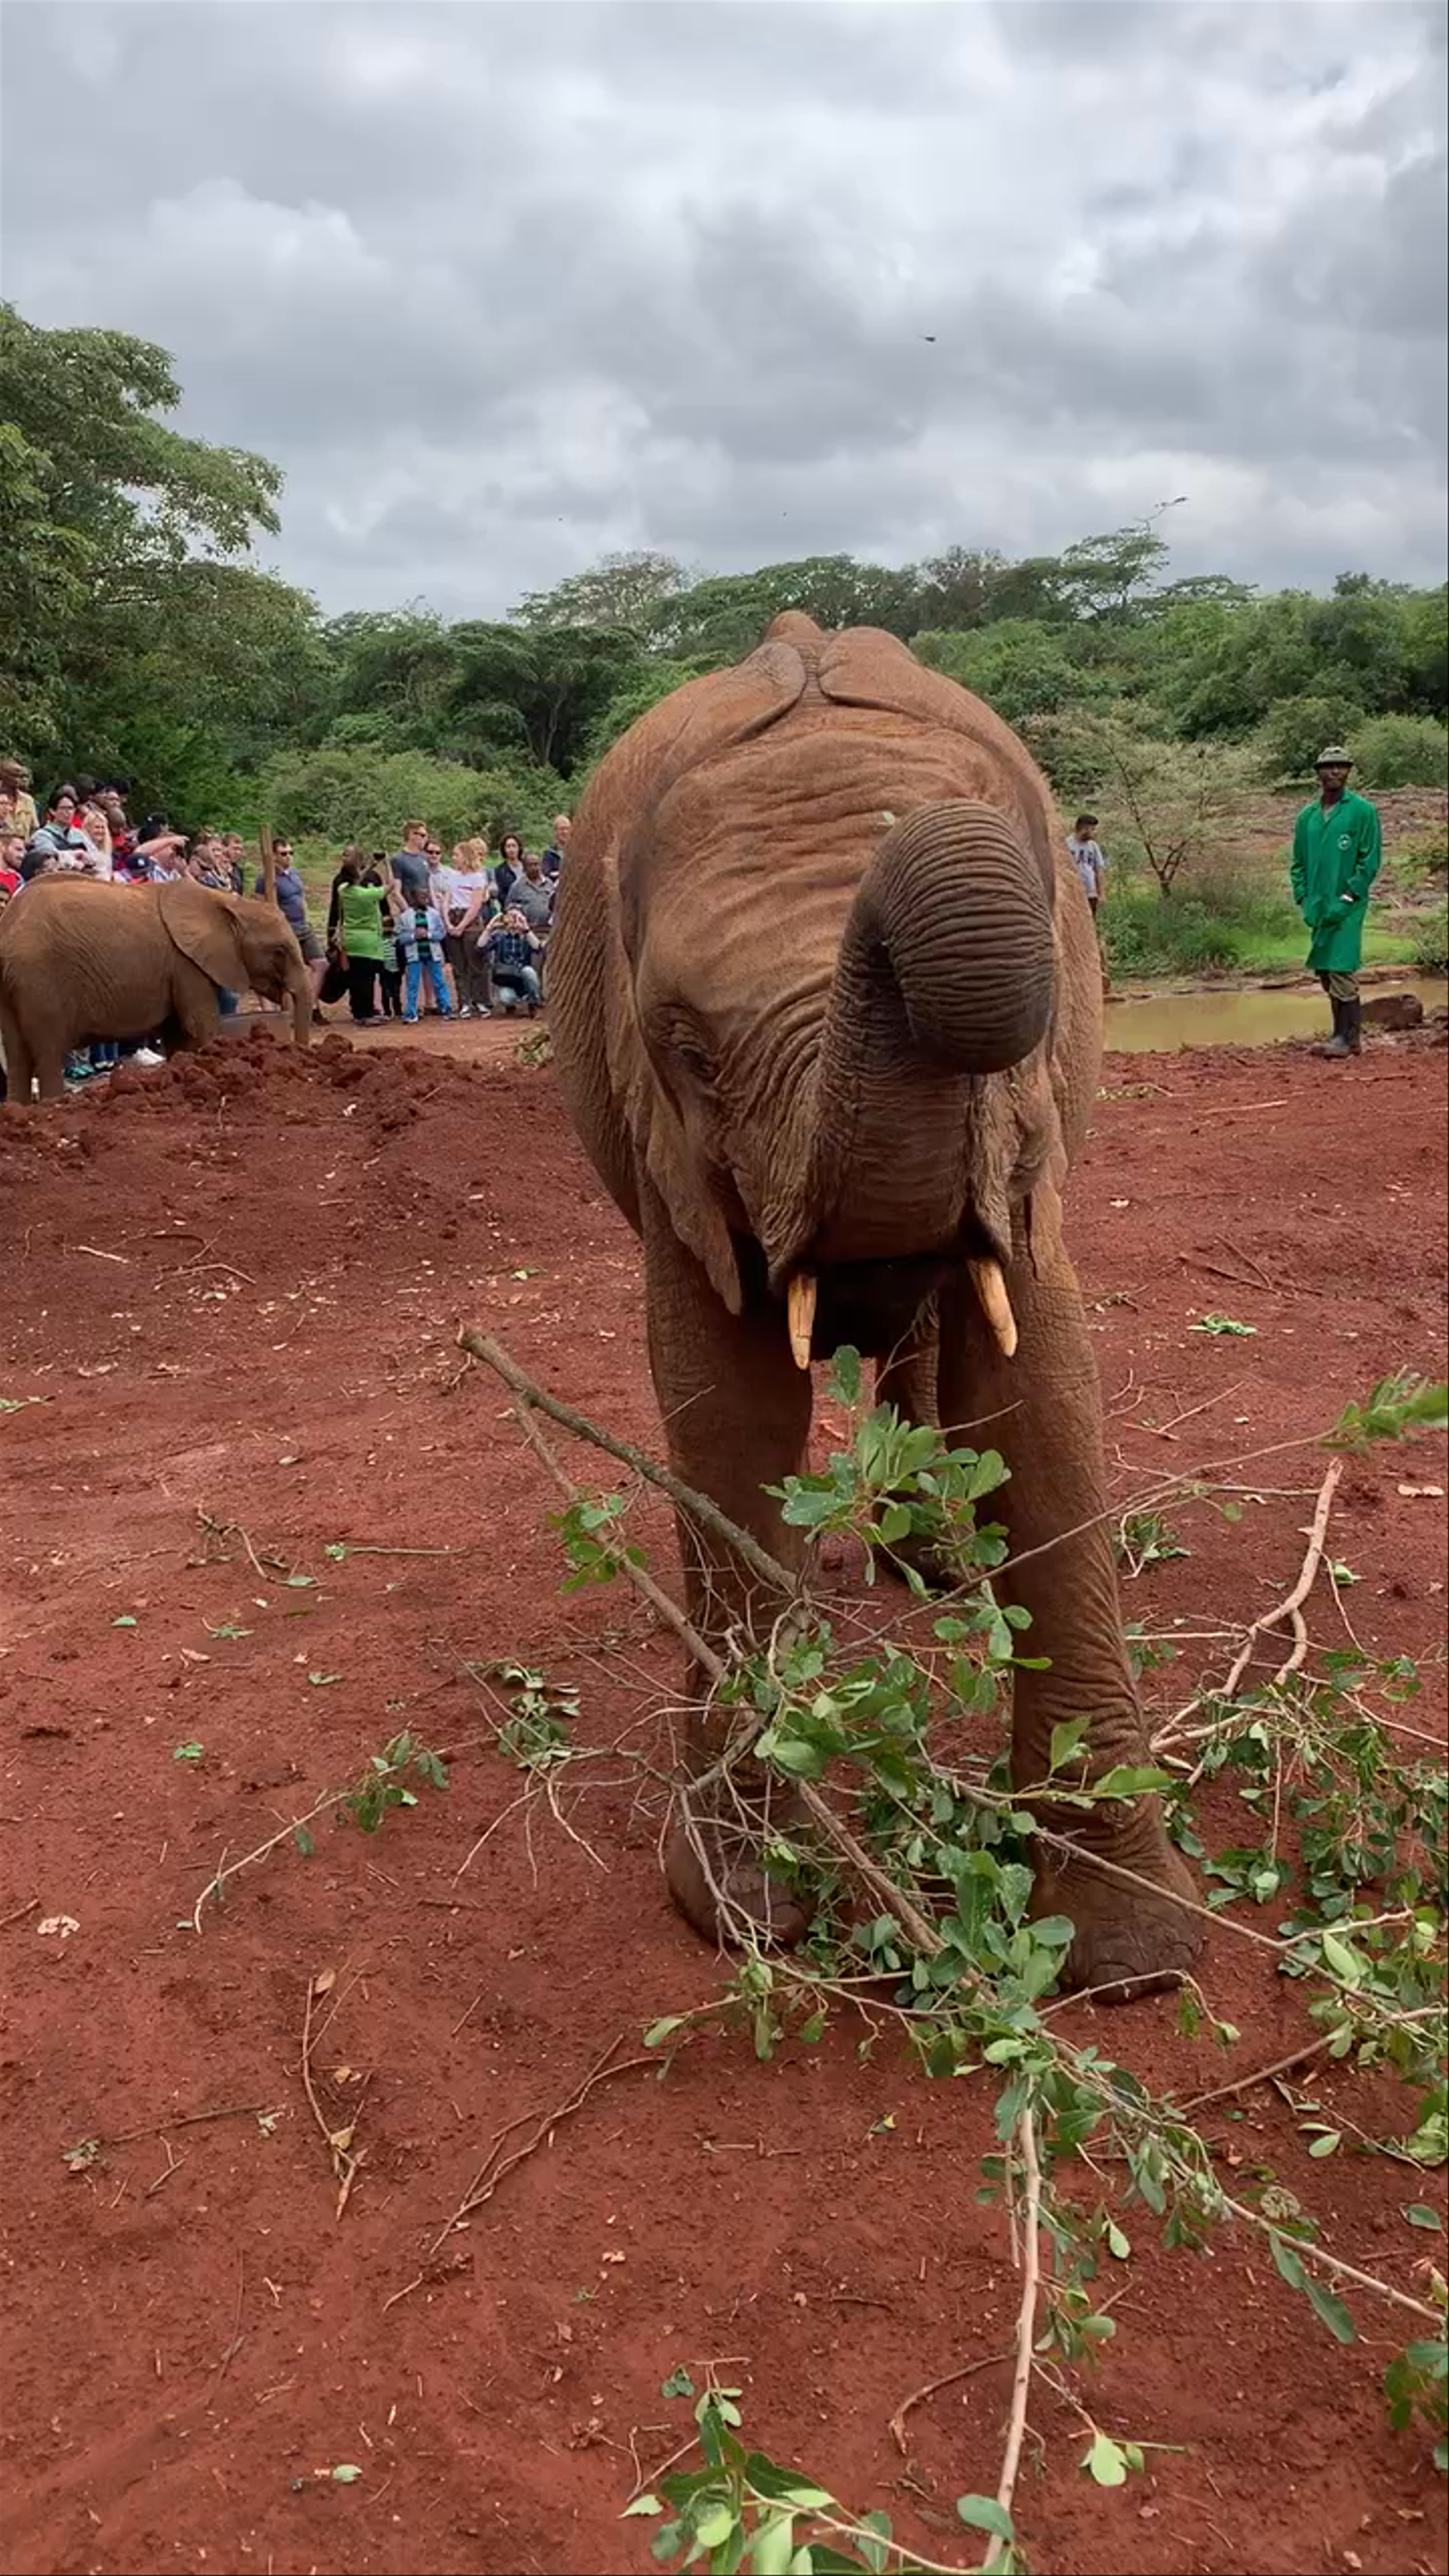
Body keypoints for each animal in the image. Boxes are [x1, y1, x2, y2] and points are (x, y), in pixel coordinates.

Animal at [0, 877, 313, 1102]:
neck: (226, 902)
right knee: (48, 1053)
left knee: (17, 1057)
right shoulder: (185, 964)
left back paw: (19, 1109)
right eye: (279, 951)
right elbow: (199, 1025)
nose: (298, 1052)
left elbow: (177, 1033)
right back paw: (53, 1106)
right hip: (41, 982)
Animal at [547, 611, 1199, 1999]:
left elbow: (1042, 1400)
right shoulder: (667, 1154)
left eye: (1056, 996)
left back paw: (933, 1568)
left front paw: (1130, 1961)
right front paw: (745, 1908)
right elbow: (726, 1409)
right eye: (688, 1051)